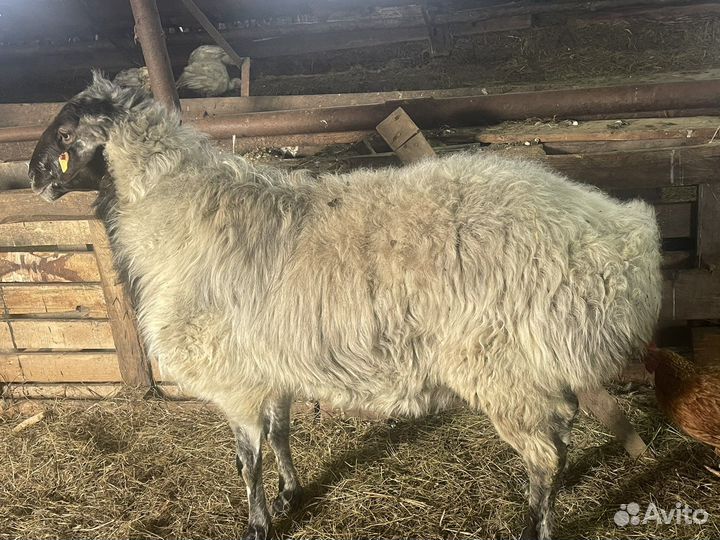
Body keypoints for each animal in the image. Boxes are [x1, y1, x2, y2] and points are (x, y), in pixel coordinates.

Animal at [28, 72, 662, 540]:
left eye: (65, 134)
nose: (32, 177)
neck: (176, 210)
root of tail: (626, 239)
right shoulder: (269, 365)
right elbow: (280, 435)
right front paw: (291, 494)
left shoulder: (234, 377)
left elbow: (246, 459)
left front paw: (257, 523)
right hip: (535, 365)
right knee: (562, 431)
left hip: (500, 368)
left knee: (545, 453)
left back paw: (535, 525)